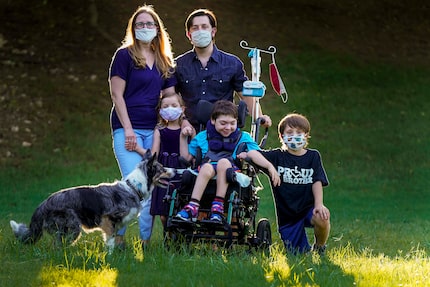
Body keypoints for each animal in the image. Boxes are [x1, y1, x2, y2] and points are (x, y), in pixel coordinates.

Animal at [8, 152, 173, 253]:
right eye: (163, 169)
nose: (175, 171)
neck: (134, 188)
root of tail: (43, 204)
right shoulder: (108, 220)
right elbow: (110, 242)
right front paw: (110, 259)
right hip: (73, 227)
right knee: (58, 246)